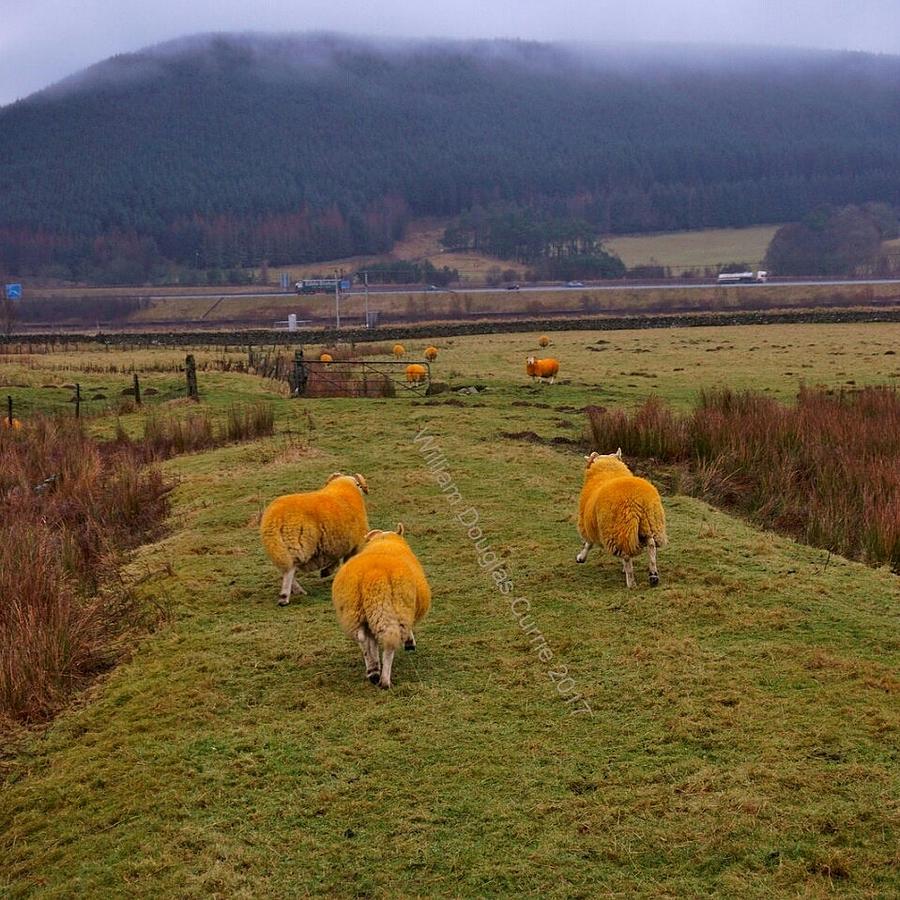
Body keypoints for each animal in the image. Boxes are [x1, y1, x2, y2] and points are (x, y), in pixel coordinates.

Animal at [260, 472, 370, 604]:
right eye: (359, 484)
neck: (344, 487)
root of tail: (274, 519)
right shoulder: (356, 544)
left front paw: (326, 571)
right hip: (297, 545)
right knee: (290, 570)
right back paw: (285, 596)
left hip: (277, 548)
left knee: (285, 568)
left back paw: (296, 590)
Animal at [330, 520, 432, 688]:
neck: (385, 540)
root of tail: (368, 575)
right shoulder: (405, 610)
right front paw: (410, 643)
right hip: (388, 610)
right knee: (388, 645)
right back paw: (384, 680)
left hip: (356, 613)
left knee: (364, 641)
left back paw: (373, 670)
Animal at [576, 450, 668, 592]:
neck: (609, 470)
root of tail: (639, 500)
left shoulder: (589, 525)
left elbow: (588, 543)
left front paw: (581, 557)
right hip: (650, 524)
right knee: (651, 545)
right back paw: (653, 576)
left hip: (620, 528)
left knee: (626, 555)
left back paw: (631, 582)